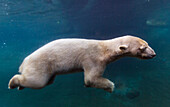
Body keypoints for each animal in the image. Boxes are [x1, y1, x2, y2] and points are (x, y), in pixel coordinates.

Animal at [8, 35, 156, 92]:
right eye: (142, 48)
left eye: (147, 44)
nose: (154, 54)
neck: (104, 49)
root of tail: (24, 62)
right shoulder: (93, 59)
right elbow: (91, 78)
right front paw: (110, 86)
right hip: (41, 64)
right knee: (38, 81)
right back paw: (13, 83)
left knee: (48, 81)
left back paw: (20, 87)